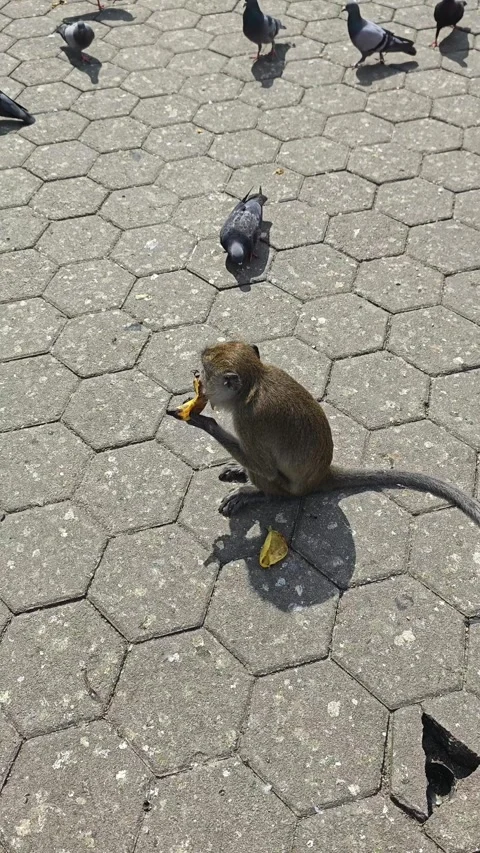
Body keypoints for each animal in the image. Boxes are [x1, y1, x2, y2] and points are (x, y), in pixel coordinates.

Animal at [178, 341, 480, 525]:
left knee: (269, 478)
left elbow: (266, 467)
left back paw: (257, 492)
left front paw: (204, 423)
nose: (197, 378)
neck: (256, 382)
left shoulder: (248, 420)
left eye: (205, 372)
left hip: (288, 489)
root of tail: (322, 475)